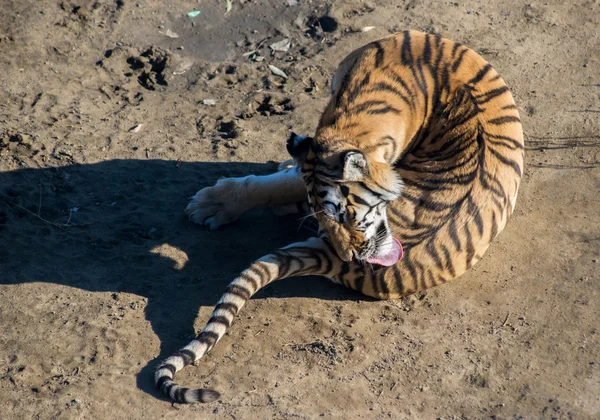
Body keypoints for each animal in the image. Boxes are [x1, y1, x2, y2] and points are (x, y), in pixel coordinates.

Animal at [155, 30, 524, 404]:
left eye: (346, 216)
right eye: (328, 219)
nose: (350, 255)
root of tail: (333, 259)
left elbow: (277, 185)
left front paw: (210, 204)